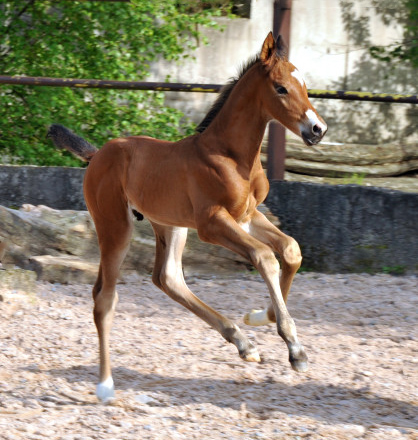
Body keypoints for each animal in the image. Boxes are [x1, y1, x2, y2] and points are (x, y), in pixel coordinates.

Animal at [48, 31, 326, 402]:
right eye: (281, 88)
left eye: (305, 85)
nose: (317, 129)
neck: (230, 155)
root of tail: (97, 155)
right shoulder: (212, 223)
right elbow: (265, 257)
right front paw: (295, 349)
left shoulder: (247, 216)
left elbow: (291, 250)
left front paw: (259, 316)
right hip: (115, 226)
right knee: (104, 298)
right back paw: (105, 386)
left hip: (171, 224)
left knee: (168, 278)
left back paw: (243, 343)